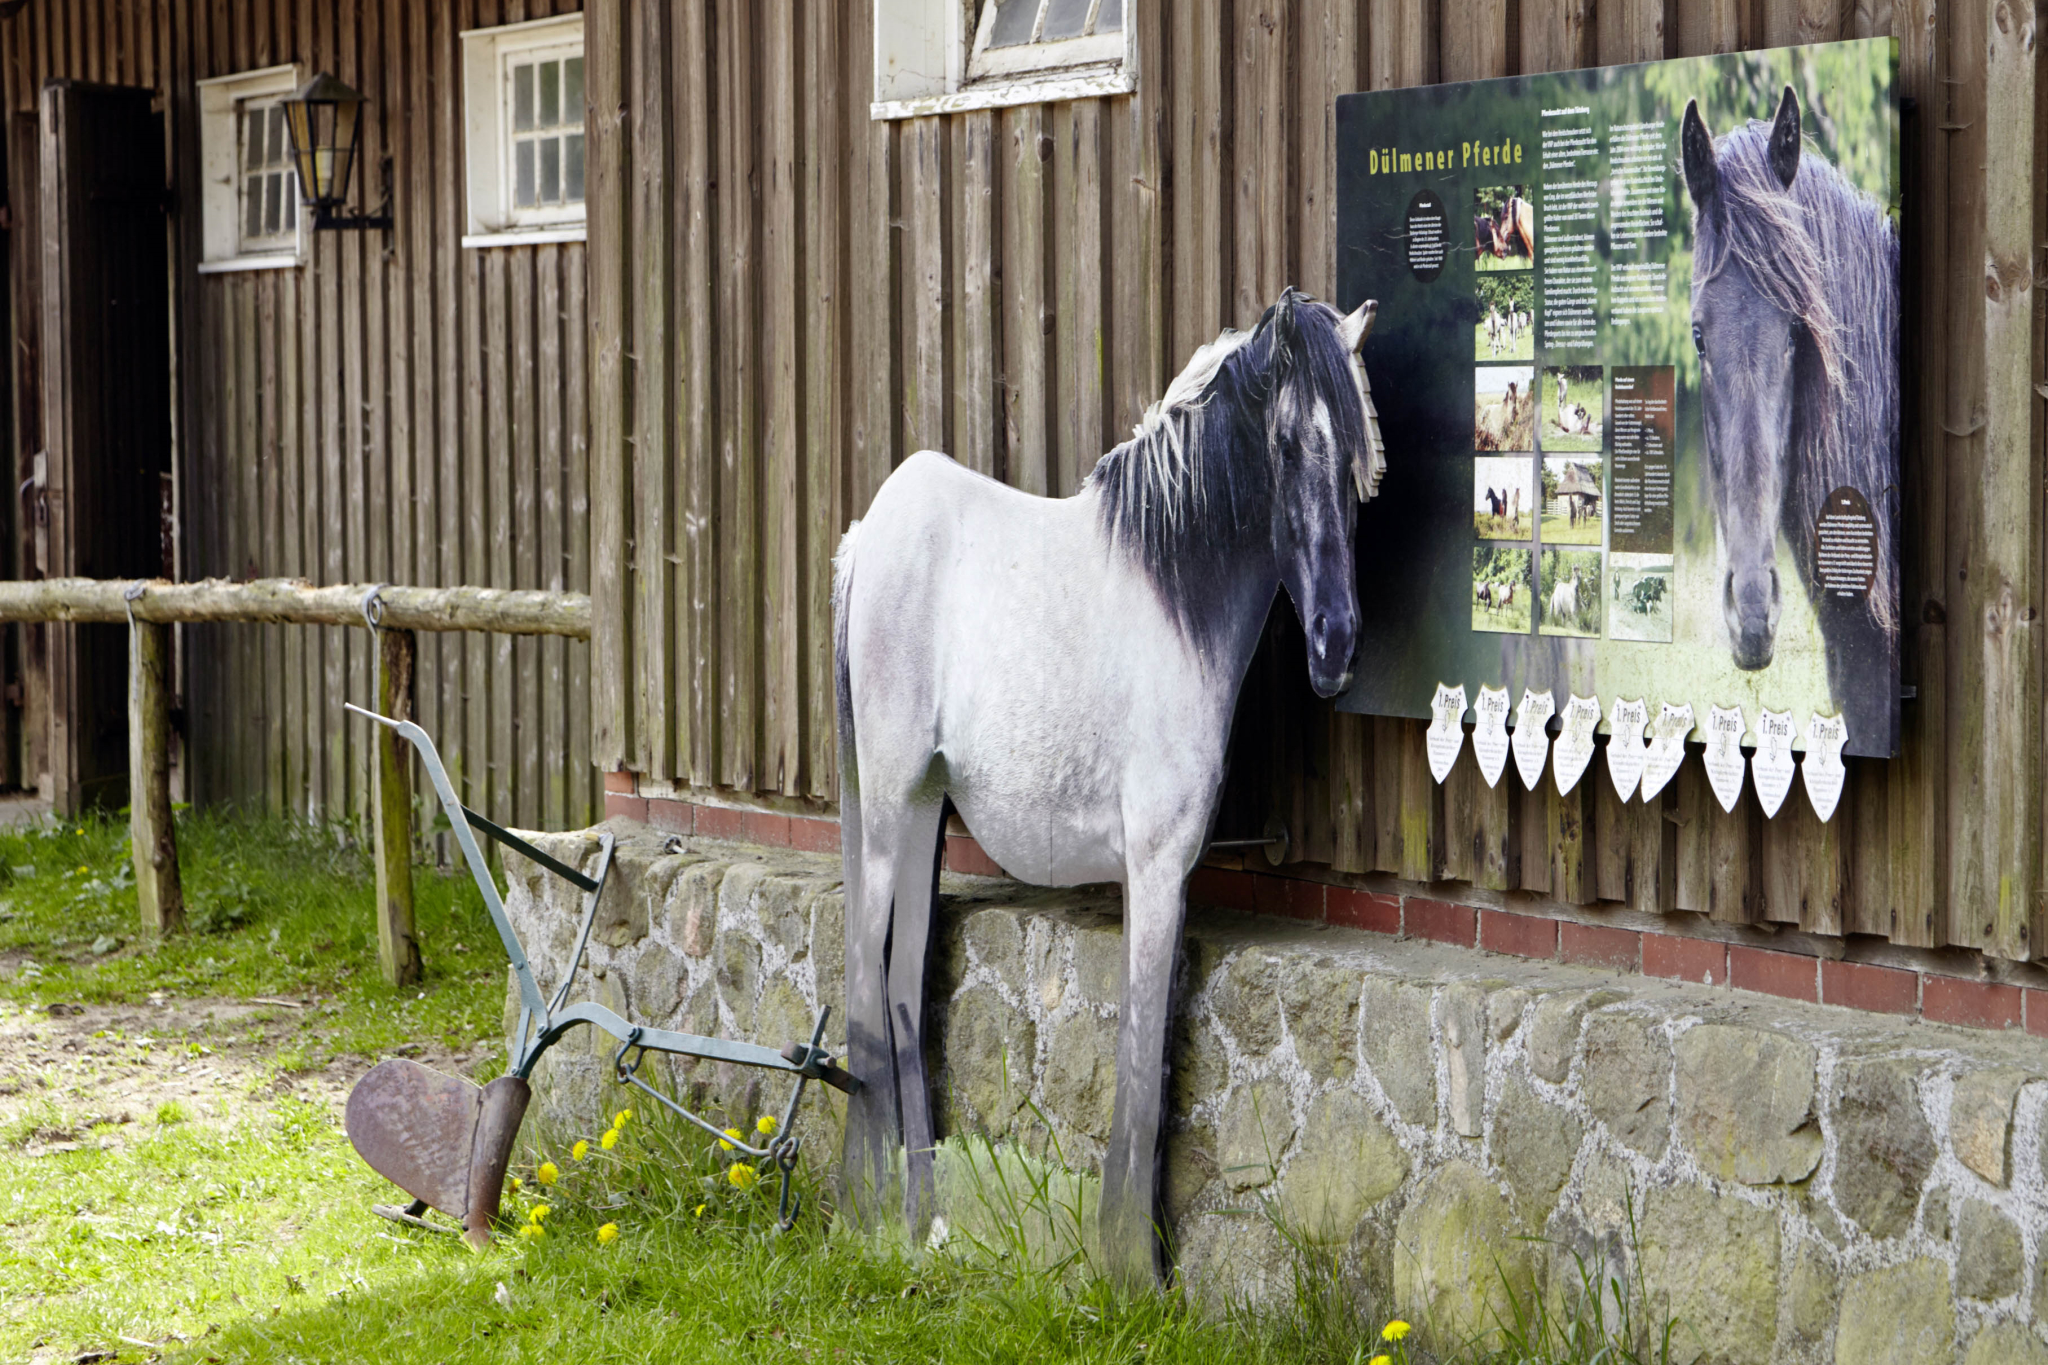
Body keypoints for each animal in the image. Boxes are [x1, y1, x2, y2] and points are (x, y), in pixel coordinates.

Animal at [833, 287, 1386, 1287]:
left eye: (1360, 453)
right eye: (1287, 445)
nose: (1335, 643)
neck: (1176, 593)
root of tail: (868, 536)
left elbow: (1152, 1052)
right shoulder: (1156, 864)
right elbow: (1141, 1051)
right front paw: (1135, 1268)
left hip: (925, 804)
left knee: (896, 989)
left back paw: (923, 1223)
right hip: (889, 808)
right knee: (863, 976)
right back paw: (863, 1218)